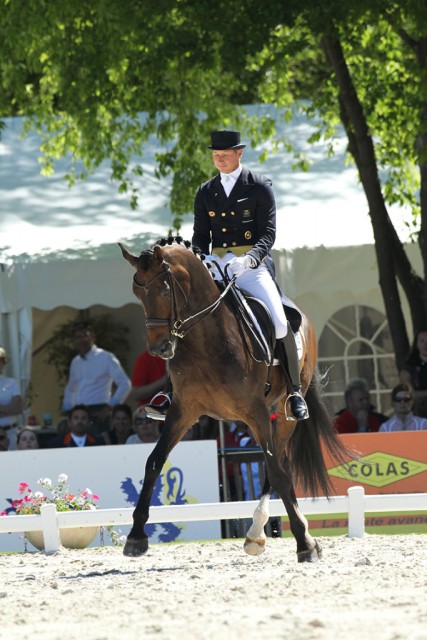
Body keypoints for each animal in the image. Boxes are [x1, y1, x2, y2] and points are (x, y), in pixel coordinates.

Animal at [119, 235, 348, 560]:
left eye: (164, 290)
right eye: (137, 292)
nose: (159, 349)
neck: (206, 338)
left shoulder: (256, 412)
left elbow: (276, 472)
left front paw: (305, 544)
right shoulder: (184, 410)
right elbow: (154, 462)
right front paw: (136, 536)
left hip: (286, 410)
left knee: (279, 461)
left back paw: (259, 532)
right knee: (278, 460)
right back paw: (258, 533)